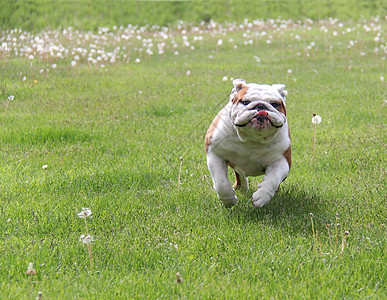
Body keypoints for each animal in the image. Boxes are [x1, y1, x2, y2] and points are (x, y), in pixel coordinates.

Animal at [206, 78, 292, 207]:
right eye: (245, 102)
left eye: (275, 104)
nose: (261, 106)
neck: (251, 138)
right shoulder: (215, 153)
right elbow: (221, 182)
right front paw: (229, 200)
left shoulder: (282, 160)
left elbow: (273, 178)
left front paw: (262, 196)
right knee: (239, 174)